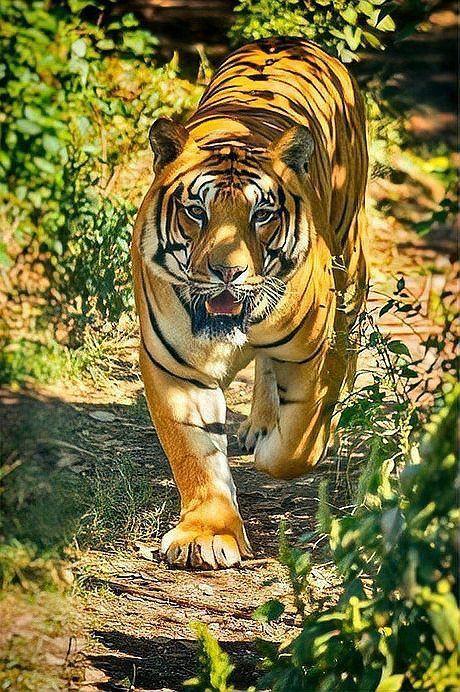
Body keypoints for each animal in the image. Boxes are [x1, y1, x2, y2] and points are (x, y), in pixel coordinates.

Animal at [132, 36, 368, 569]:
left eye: (262, 214)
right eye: (196, 211)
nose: (228, 271)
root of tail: (292, 40)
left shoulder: (310, 350)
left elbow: (297, 442)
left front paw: (280, 448)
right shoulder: (174, 367)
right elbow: (194, 453)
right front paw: (207, 534)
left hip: (351, 264)